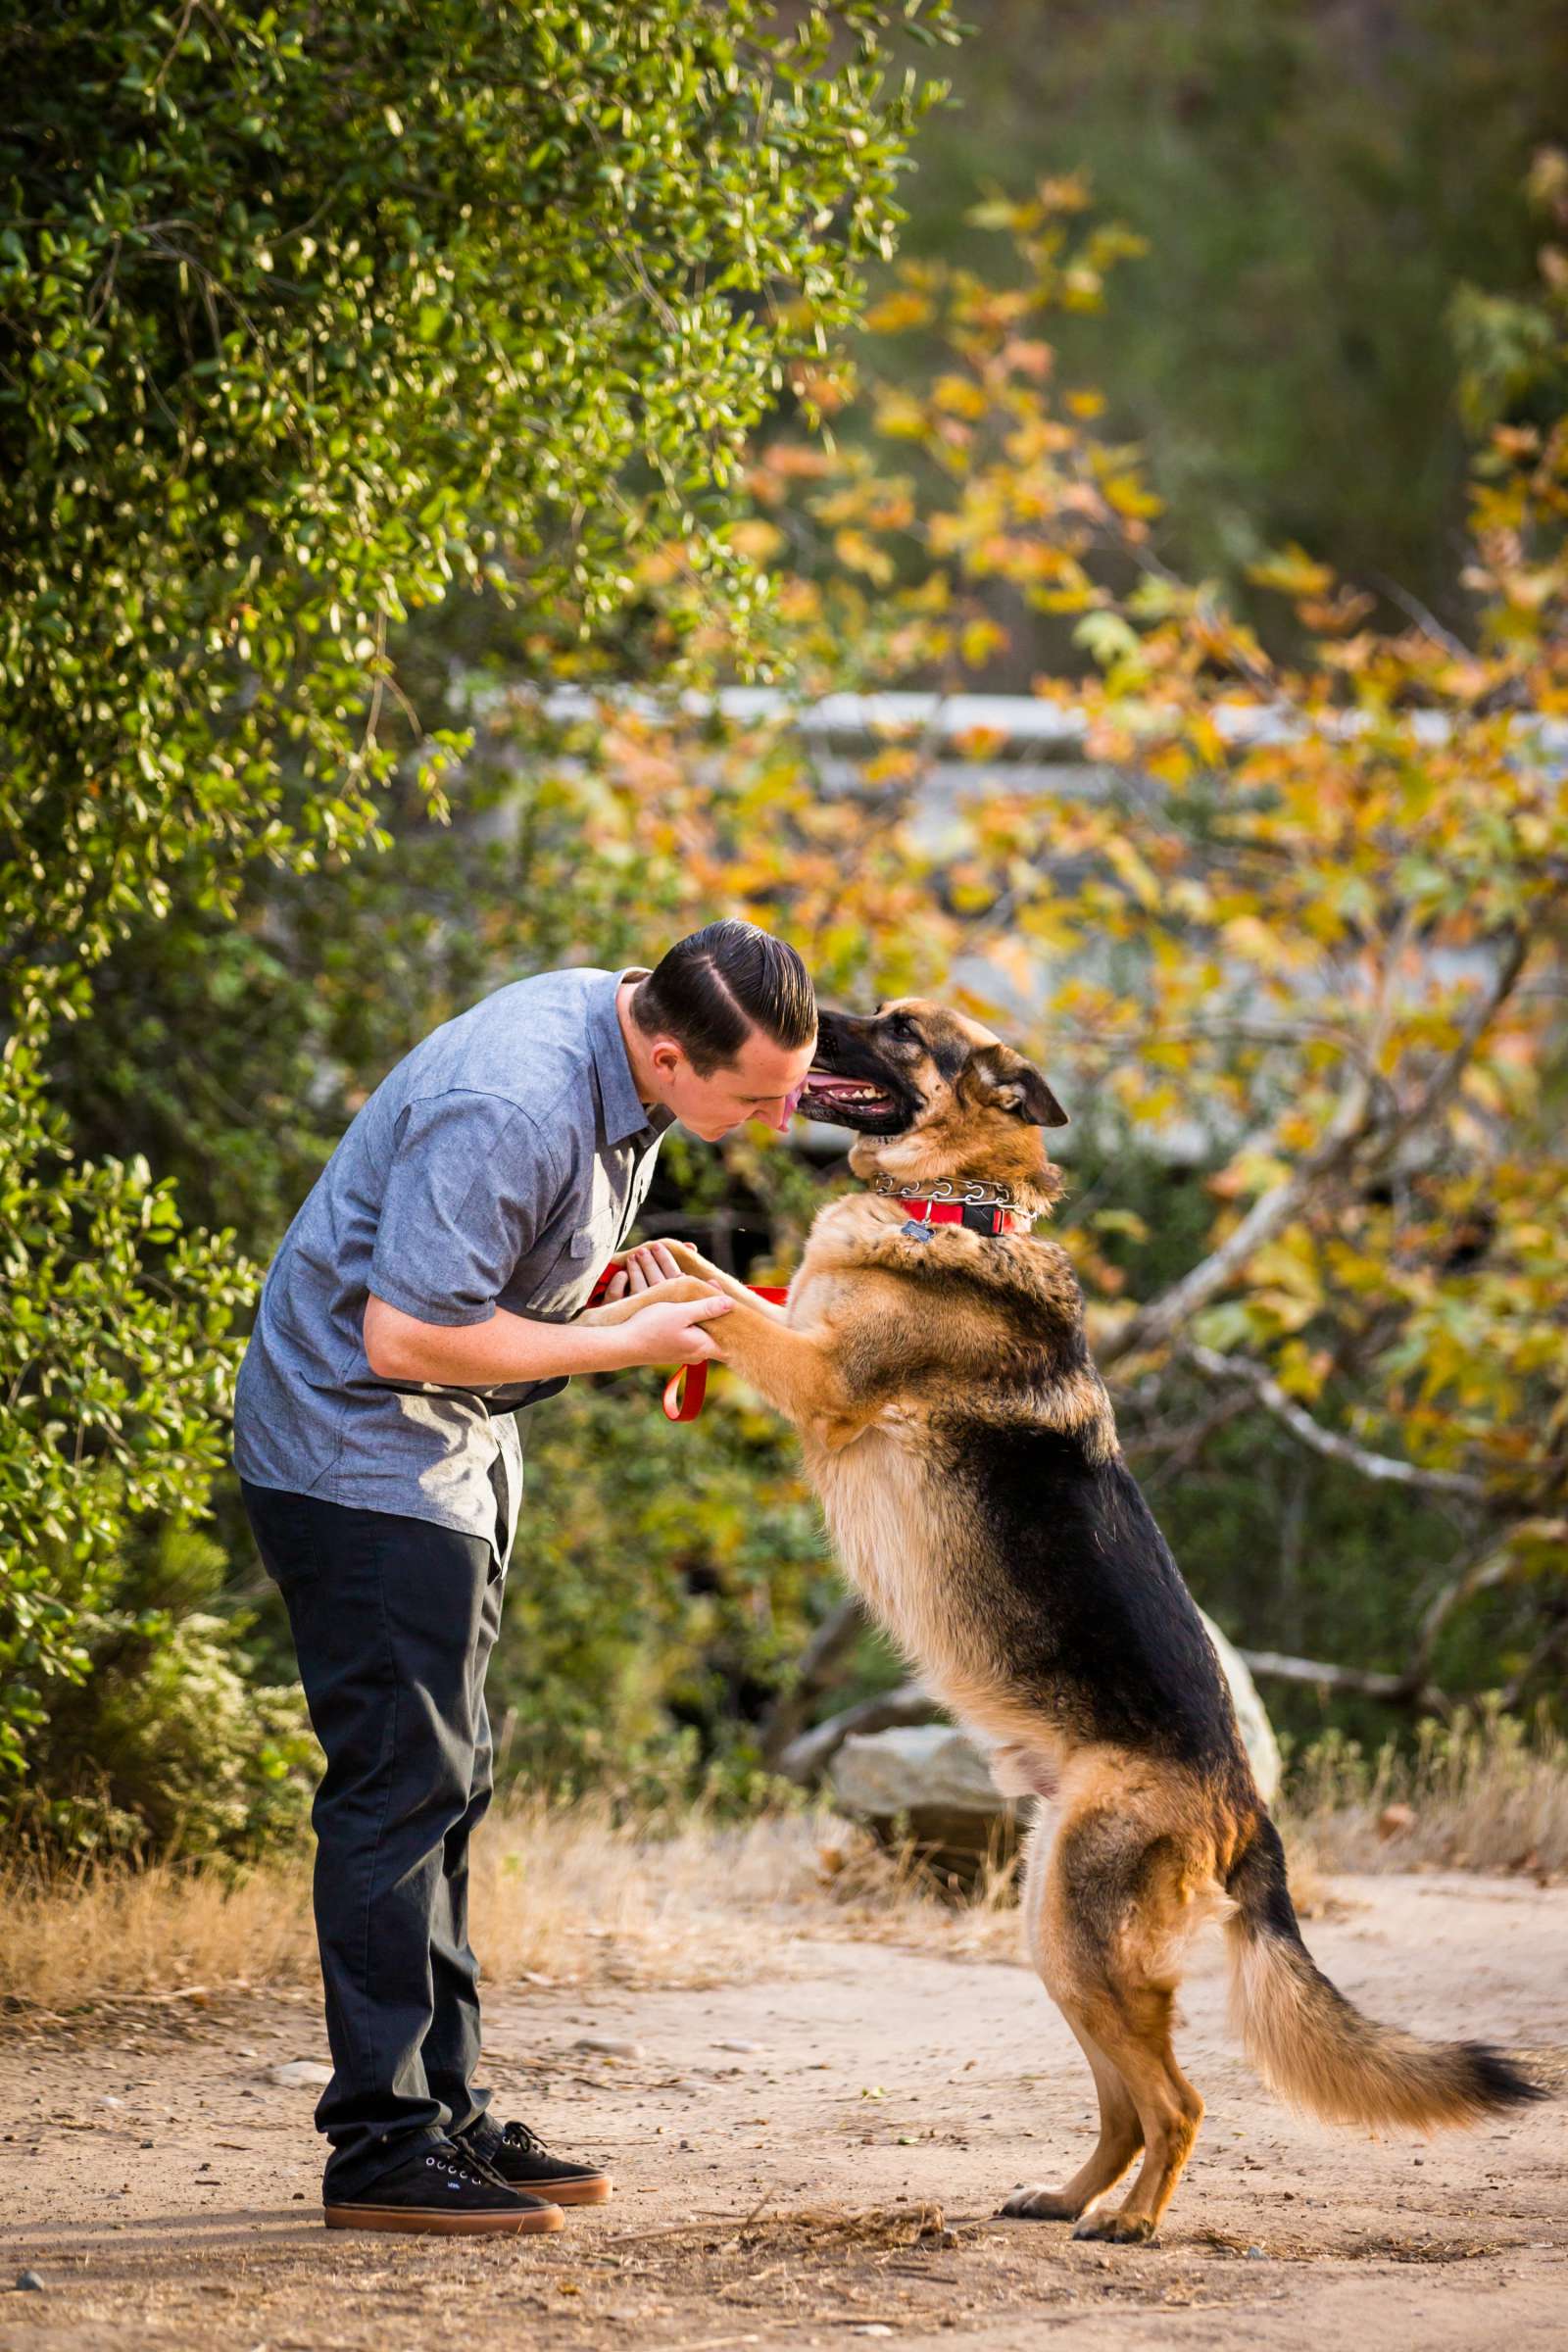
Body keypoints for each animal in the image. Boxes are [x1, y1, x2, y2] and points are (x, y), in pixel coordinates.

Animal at [649, 1002, 1542, 2248]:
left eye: (899, 1031)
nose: (812, 1010)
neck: (955, 1207)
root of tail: (1247, 1810)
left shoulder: (816, 1373)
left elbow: (719, 1296)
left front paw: (644, 1275)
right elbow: (726, 1285)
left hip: (1082, 1941)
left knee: (1179, 2100)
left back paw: (1132, 2222)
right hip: (1056, 1940)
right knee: (1125, 2106)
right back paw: (1070, 2197)